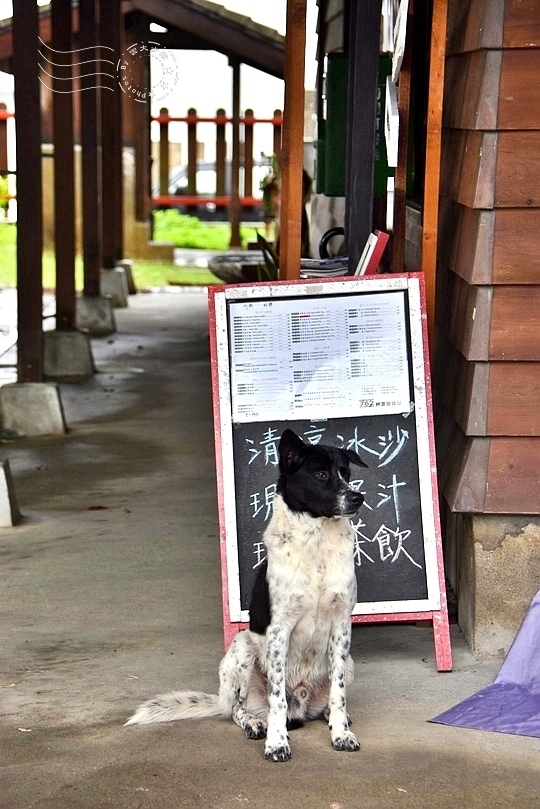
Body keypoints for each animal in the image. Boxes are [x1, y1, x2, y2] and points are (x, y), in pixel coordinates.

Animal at [124, 426, 364, 760]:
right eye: (321, 474)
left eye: (346, 473)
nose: (358, 497)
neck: (315, 543)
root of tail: (301, 706)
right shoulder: (279, 631)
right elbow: (277, 699)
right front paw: (277, 742)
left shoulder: (341, 626)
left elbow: (338, 694)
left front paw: (341, 734)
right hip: (241, 650)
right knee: (238, 709)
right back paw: (254, 723)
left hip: (349, 661)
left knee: (327, 698)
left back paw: (328, 716)